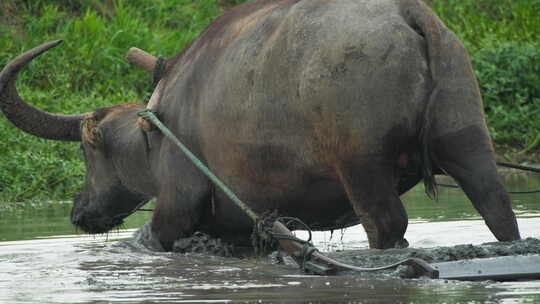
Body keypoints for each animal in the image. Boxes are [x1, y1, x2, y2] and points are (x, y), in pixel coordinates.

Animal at [1, 0, 524, 249]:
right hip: (468, 141)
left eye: (86, 152)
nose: (78, 211)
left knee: (386, 224)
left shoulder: (177, 204)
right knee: (498, 209)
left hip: (362, 165)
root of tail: (411, 15)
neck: (160, 125)